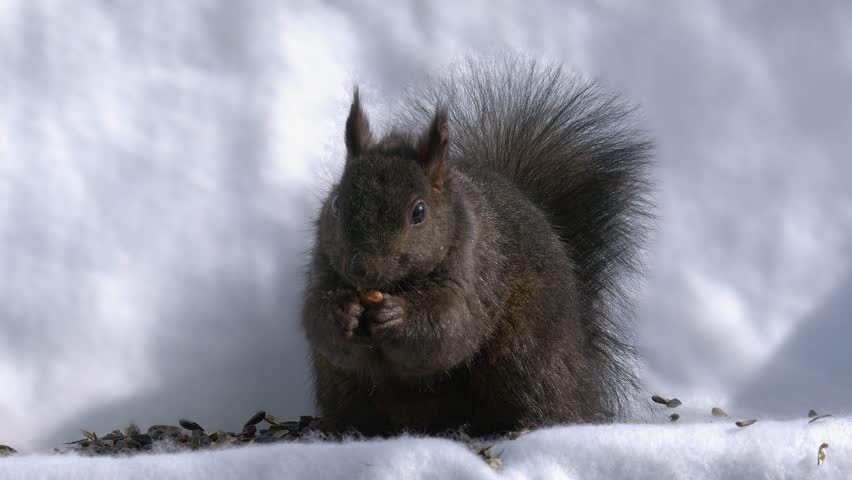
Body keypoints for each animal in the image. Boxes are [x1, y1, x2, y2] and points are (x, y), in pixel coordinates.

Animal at [301, 56, 653, 437]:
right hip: (340, 383)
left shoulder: (475, 268)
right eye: (337, 204)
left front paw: (395, 314)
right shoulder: (322, 265)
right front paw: (342, 311)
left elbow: (451, 326)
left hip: (525, 359)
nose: (361, 269)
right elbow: (316, 319)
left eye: (418, 212)